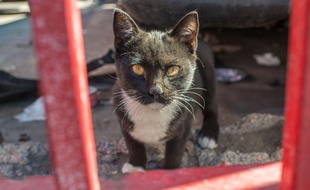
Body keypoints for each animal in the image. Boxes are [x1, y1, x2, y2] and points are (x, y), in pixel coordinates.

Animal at [112, 8, 219, 172]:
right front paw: (136, 165)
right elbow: (132, 142)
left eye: (173, 70)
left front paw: (170, 170)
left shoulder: (184, 122)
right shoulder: (120, 111)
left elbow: (176, 149)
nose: (156, 91)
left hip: (208, 72)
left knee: (212, 104)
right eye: (138, 68)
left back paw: (209, 135)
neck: (152, 113)